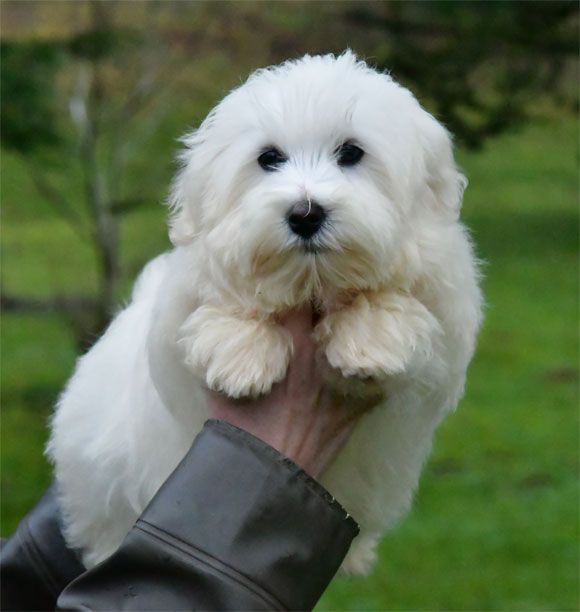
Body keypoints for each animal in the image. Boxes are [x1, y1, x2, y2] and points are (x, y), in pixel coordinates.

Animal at [48, 51, 484, 572]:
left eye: (351, 153)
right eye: (269, 159)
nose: (305, 213)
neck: (311, 281)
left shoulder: (445, 304)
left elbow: (398, 300)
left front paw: (370, 340)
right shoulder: (185, 303)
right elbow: (225, 301)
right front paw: (241, 358)